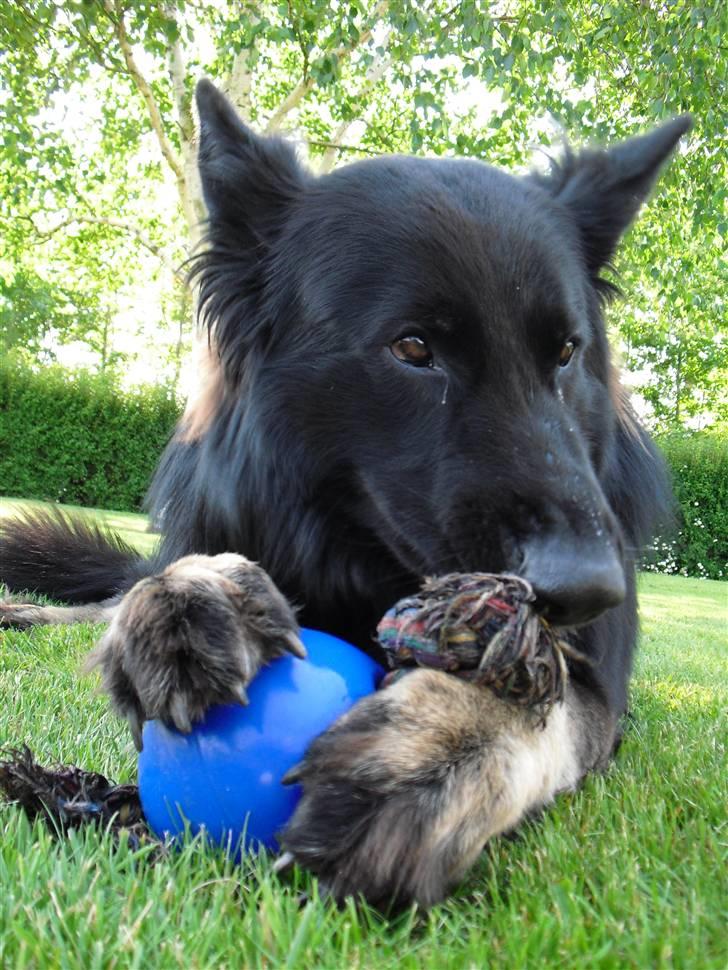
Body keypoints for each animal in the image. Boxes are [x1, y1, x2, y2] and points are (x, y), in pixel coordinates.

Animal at [0, 83, 692, 908]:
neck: (355, 562)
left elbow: (540, 695)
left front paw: (441, 744)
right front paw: (190, 595)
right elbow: (169, 578)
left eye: (564, 353)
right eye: (413, 347)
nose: (591, 588)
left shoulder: (601, 691)